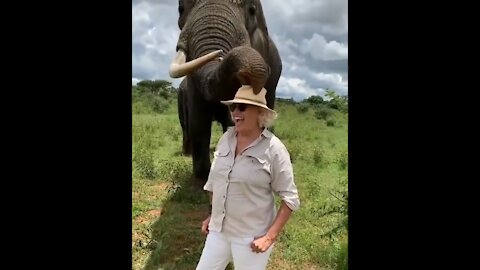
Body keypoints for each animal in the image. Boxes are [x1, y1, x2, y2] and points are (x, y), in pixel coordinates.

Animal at [170, 0, 284, 187]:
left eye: (251, 10)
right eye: (180, 9)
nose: (220, 56)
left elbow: (232, 121)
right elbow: (198, 121)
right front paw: (203, 177)